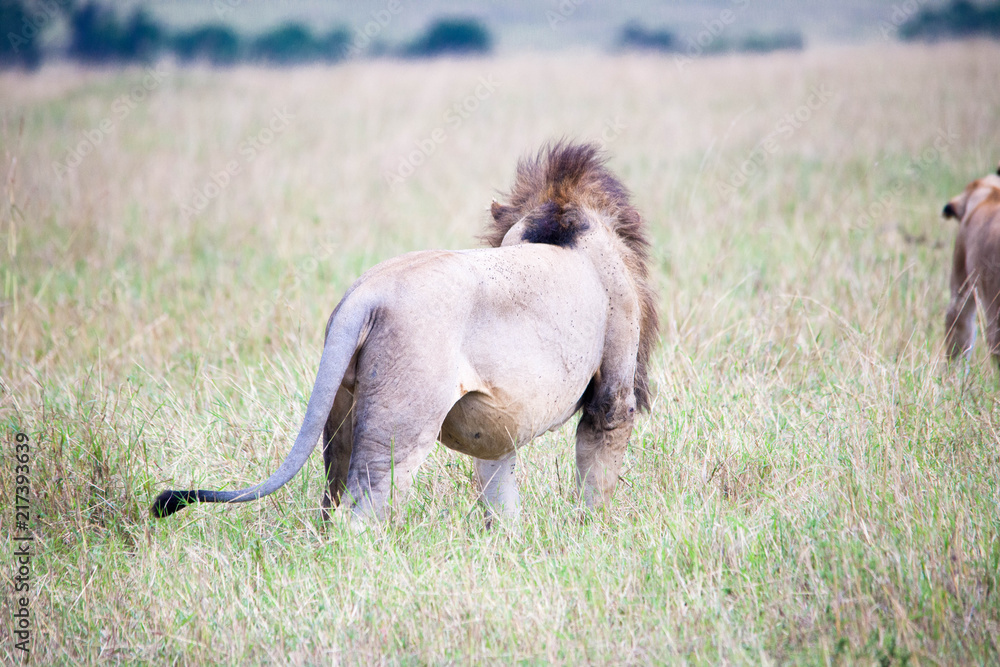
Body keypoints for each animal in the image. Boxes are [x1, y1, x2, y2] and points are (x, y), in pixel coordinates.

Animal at [151, 141, 659, 525]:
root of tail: (365, 294)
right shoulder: (613, 396)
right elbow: (596, 478)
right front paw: (591, 534)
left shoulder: (496, 421)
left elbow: (498, 487)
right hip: (401, 424)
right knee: (364, 511)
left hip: (341, 422)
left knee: (330, 501)